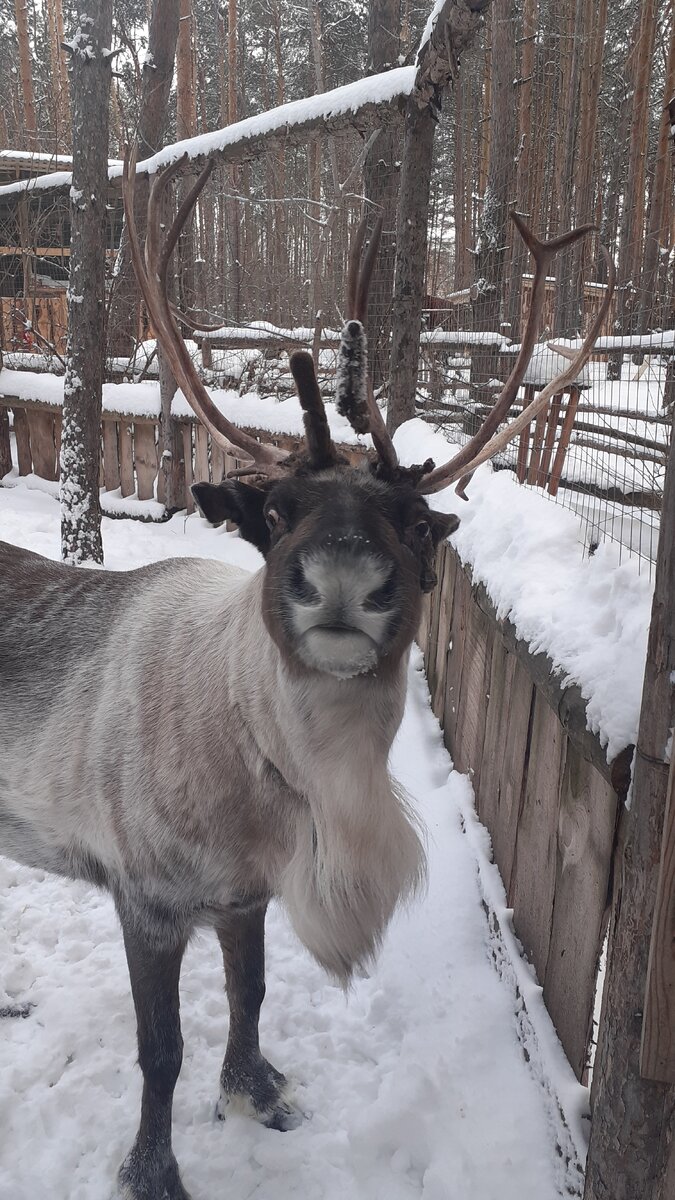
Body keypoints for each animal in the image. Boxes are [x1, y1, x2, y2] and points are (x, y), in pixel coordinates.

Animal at [0, 144, 614, 1200]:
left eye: (414, 525)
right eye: (278, 511)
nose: (342, 580)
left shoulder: (246, 891)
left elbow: (248, 995)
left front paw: (256, 1092)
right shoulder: (147, 896)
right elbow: (160, 1050)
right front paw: (152, 1169)